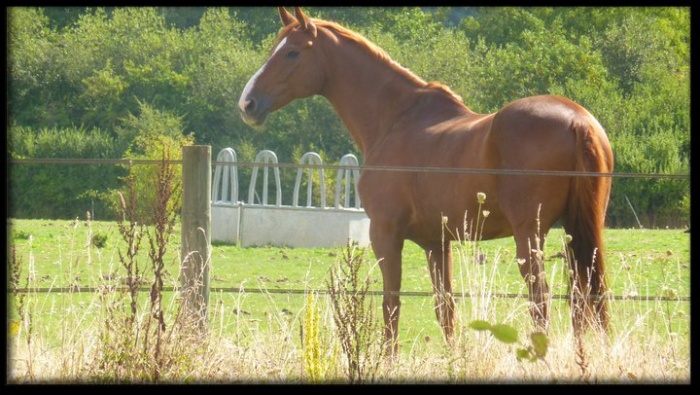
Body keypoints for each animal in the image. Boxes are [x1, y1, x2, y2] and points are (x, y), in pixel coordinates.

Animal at [241, 6, 612, 354]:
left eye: (292, 53)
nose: (248, 103)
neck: (396, 119)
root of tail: (578, 121)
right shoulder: (438, 242)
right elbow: (445, 308)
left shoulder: (385, 234)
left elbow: (391, 304)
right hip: (577, 231)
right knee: (588, 297)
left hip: (530, 235)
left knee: (542, 299)